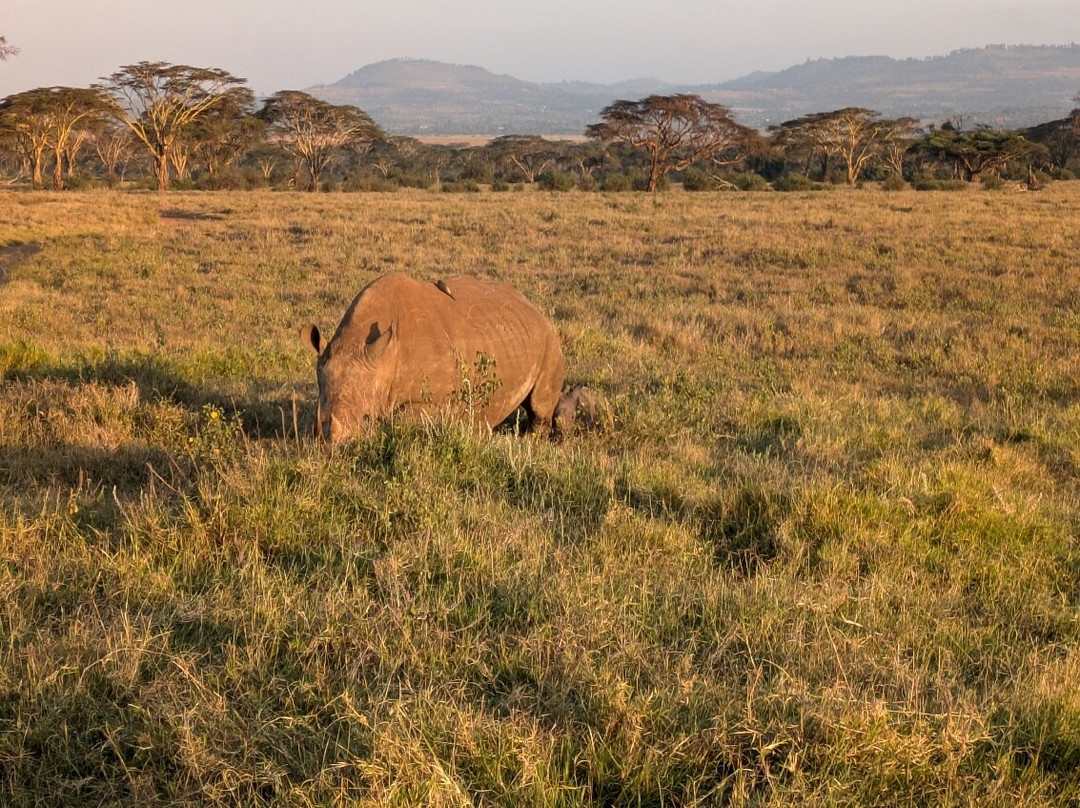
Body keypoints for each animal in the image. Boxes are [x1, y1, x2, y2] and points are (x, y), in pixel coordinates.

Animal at [298, 274, 561, 445]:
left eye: (367, 418)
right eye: (316, 420)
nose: (331, 447)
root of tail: (533, 306)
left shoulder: (436, 402)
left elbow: (402, 419)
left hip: (549, 338)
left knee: (539, 404)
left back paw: (531, 439)